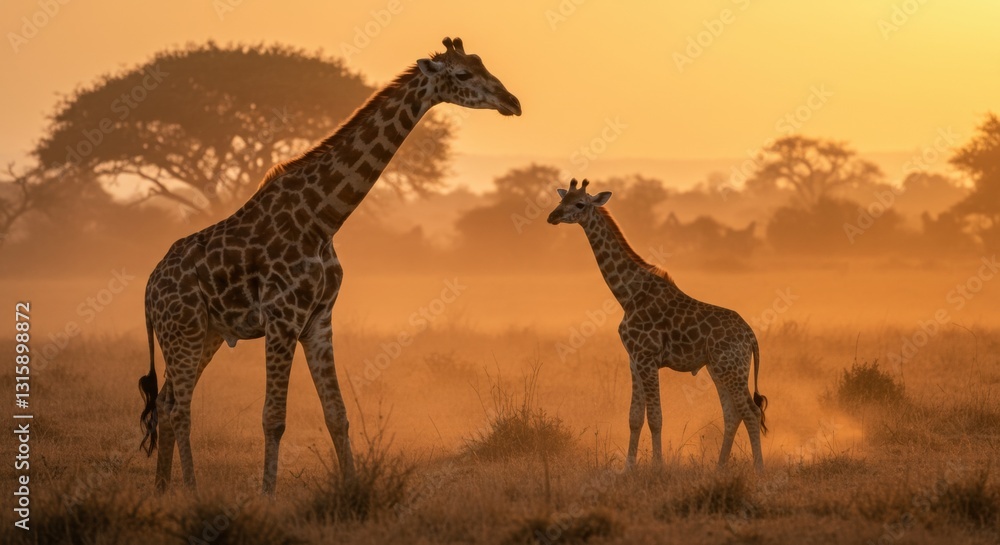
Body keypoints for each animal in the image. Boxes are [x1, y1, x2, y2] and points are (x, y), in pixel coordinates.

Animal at [137, 37, 521, 494]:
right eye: (462, 74)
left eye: (482, 64)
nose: (512, 102)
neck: (322, 218)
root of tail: (148, 290)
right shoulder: (283, 318)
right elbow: (274, 417)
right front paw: (267, 495)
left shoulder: (319, 318)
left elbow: (337, 413)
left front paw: (352, 486)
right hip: (184, 331)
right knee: (179, 407)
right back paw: (192, 492)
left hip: (205, 333)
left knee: (167, 400)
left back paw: (162, 490)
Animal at [546, 179, 768, 471]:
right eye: (562, 199)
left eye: (580, 204)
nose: (553, 216)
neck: (628, 295)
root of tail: (750, 336)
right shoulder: (634, 359)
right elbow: (634, 417)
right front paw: (628, 468)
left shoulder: (647, 358)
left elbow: (655, 417)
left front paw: (657, 466)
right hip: (719, 368)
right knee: (732, 414)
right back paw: (720, 468)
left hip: (731, 368)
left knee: (751, 412)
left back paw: (759, 470)